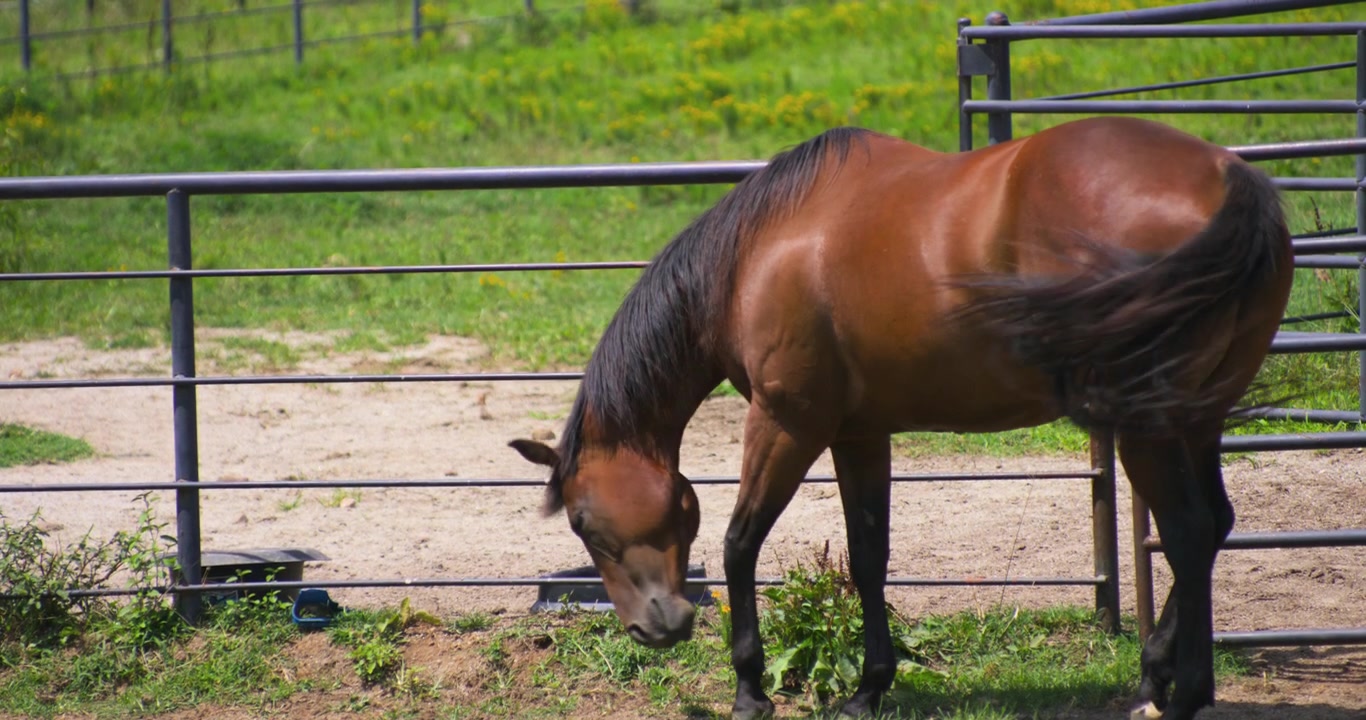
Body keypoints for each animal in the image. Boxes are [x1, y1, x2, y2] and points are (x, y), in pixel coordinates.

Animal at [511, 116, 1293, 720]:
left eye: (583, 525)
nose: (655, 628)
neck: (755, 253)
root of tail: (1231, 179)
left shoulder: (787, 423)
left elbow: (739, 544)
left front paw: (750, 688)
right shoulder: (859, 432)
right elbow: (869, 555)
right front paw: (869, 688)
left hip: (1148, 426)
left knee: (1187, 532)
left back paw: (1182, 693)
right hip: (1196, 418)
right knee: (1213, 525)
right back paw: (1156, 675)